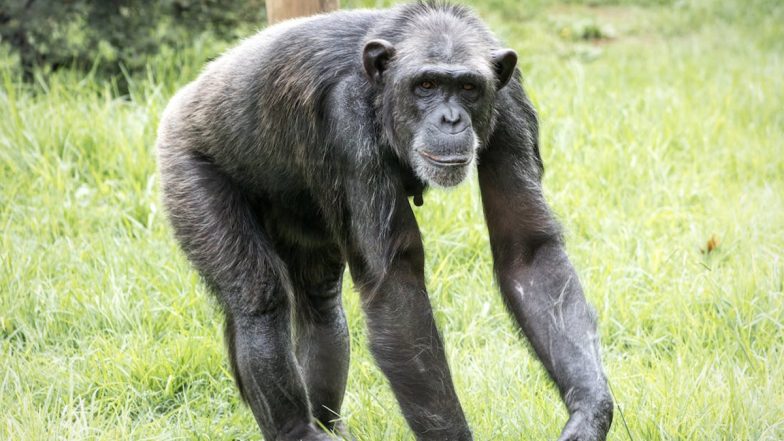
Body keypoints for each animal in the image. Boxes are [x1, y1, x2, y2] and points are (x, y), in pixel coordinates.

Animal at [156, 1, 616, 438]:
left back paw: (327, 421)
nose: (451, 118)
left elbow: (527, 250)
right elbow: (396, 287)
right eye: (426, 85)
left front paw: (589, 412)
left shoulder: (512, 106)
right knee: (258, 299)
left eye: (468, 87)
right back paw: (298, 429)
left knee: (320, 304)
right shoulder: (346, 121)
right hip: (185, 169)